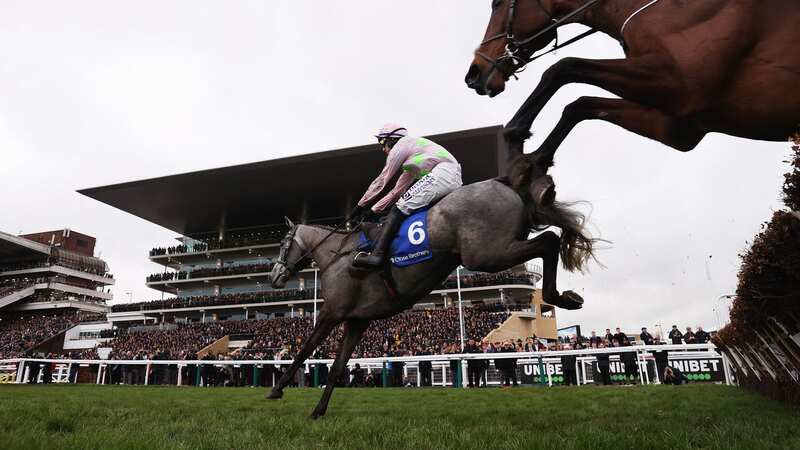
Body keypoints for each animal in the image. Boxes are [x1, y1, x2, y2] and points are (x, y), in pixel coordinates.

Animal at [268, 173, 592, 418]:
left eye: (283, 245)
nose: (274, 276)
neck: (337, 255)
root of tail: (503, 182)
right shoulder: (357, 320)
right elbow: (336, 367)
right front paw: (318, 410)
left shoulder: (332, 311)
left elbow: (304, 350)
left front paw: (276, 389)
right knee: (549, 240)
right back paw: (566, 297)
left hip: (486, 253)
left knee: (548, 241)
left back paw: (558, 295)